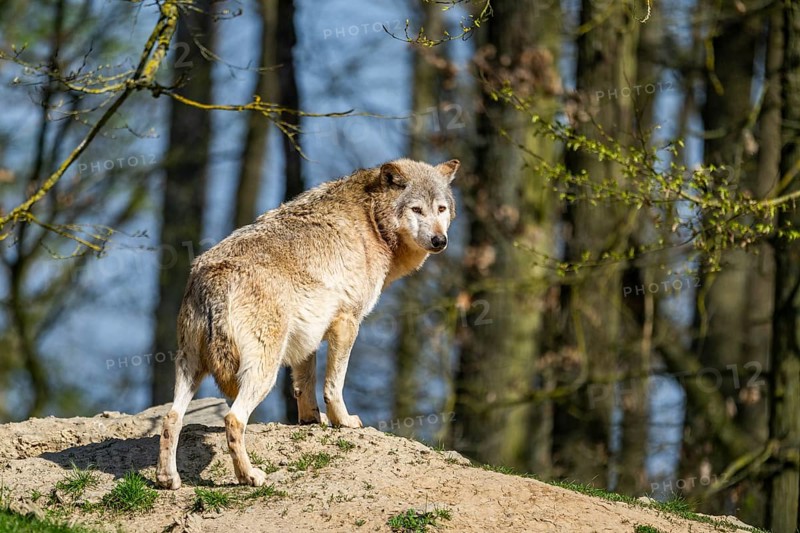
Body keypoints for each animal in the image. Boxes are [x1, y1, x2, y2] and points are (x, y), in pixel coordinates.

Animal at [156, 158, 459, 489]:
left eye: (441, 209)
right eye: (417, 209)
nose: (440, 241)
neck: (372, 223)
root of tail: (214, 277)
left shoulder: (307, 335)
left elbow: (305, 385)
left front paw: (312, 420)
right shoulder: (348, 322)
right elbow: (333, 385)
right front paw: (344, 421)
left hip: (191, 367)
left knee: (170, 418)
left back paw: (167, 479)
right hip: (262, 373)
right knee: (233, 420)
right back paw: (249, 476)